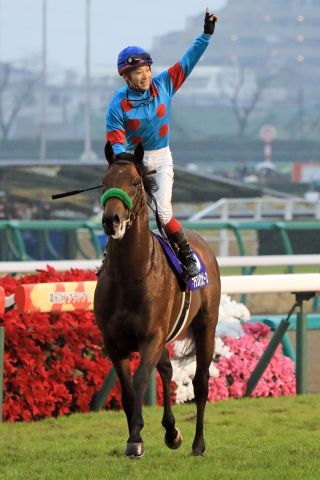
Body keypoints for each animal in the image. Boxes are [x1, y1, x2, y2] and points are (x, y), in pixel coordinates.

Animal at [94, 142, 221, 458]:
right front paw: (135, 437)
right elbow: (127, 390)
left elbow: (140, 380)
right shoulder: (114, 343)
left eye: (135, 183)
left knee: (200, 382)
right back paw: (172, 432)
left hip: (206, 326)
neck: (129, 275)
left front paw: (136, 437)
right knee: (166, 369)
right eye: (104, 181)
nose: (111, 221)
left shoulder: (151, 336)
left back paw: (198, 444)